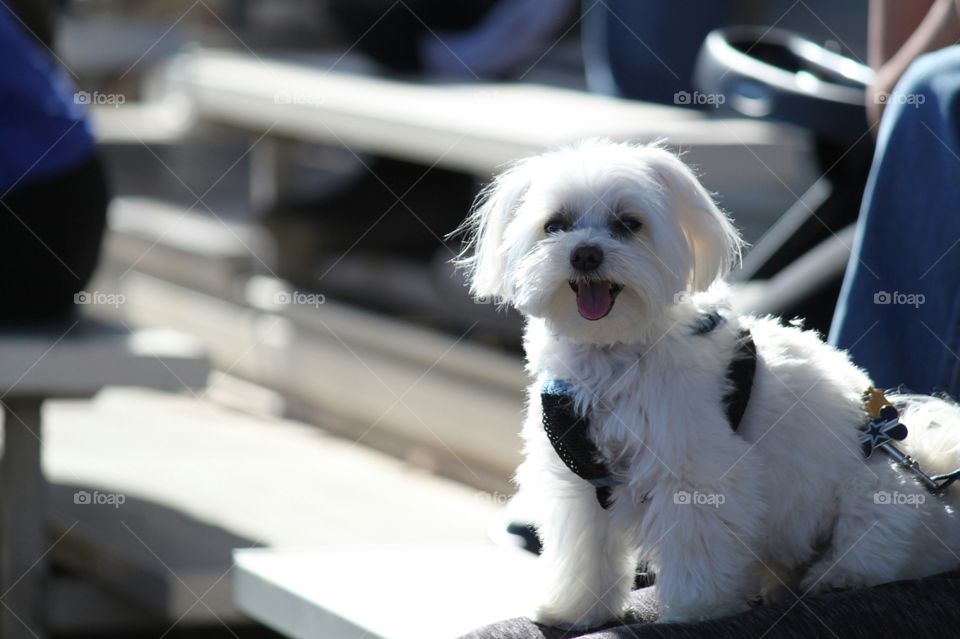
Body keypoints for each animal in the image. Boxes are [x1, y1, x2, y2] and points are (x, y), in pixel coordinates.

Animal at [456, 141, 960, 632]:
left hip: (876, 492)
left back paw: (835, 577)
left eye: (628, 224)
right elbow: (583, 550)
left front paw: (696, 609)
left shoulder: (696, 471)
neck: (614, 353)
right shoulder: (581, 478)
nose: (584, 253)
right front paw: (574, 609)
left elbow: (697, 544)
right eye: (555, 225)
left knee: (875, 547)